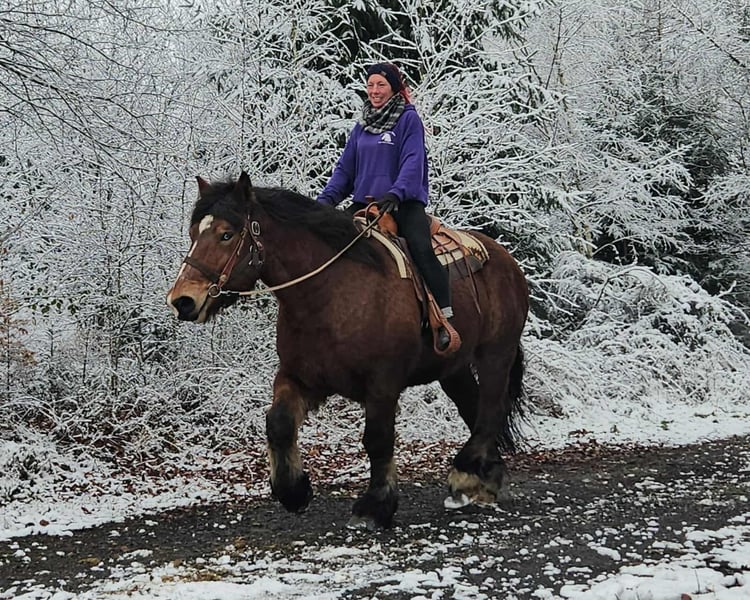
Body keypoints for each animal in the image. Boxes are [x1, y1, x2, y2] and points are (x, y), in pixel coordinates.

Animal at [166, 172, 529, 529]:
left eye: (226, 235)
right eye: (193, 233)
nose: (183, 300)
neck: (331, 292)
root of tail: (505, 258)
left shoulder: (383, 384)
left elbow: (377, 439)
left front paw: (375, 505)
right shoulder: (300, 377)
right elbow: (279, 423)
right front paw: (293, 491)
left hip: (495, 354)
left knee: (491, 409)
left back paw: (465, 474)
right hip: (453, 369)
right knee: (475, 408)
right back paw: (484, 477)